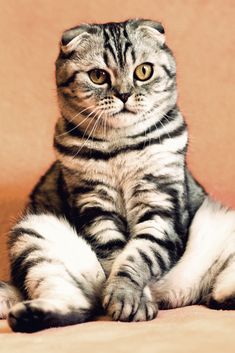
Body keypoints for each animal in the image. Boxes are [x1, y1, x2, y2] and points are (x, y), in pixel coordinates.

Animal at [0, 19, 235, 332]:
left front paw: (127, 296)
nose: (124, 94)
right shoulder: (95, 205)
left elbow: (139, 253)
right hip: (35, 233)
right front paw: (130, 300)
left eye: (143, 71)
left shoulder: (161, 204)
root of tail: (174, 294)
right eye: (98, 76)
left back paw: (223, 295)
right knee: (78, 305)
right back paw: (31, 315)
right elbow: (116, 256)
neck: (120, 147)